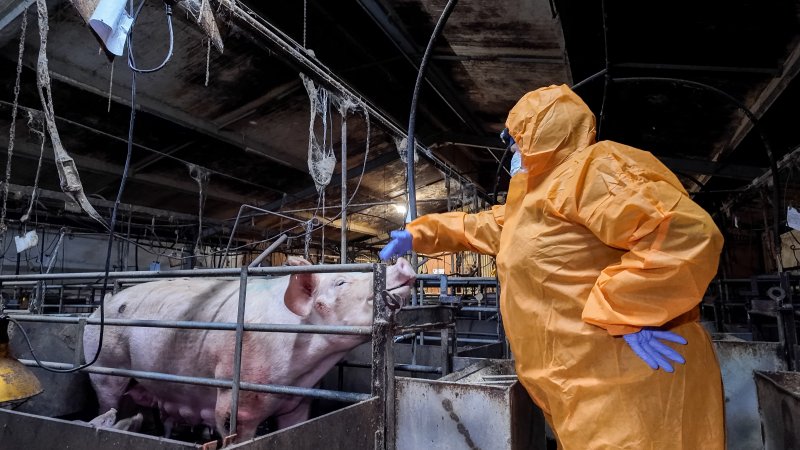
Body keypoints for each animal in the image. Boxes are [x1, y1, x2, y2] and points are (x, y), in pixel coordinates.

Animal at [84, 256, 416, 440]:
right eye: (341, 282)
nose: (401, 262)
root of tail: (100, 306)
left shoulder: (298, 402)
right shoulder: (235, 402)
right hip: (103, 364)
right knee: (106, 401)